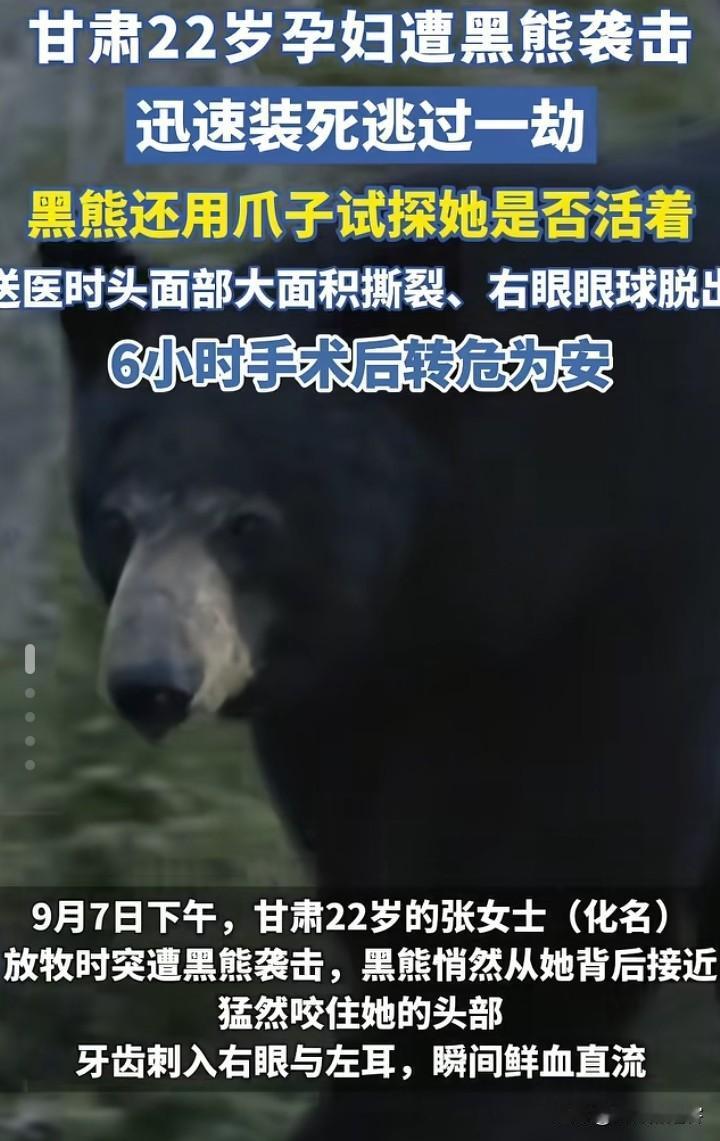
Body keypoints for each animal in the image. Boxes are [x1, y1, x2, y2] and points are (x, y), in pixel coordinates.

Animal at [42, 138, 720, 1137]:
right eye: (116, 519)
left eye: (248, 522)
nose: (150, 680)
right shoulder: (362, 688)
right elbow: (375, 867)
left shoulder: (631, 583)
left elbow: (584, 846)